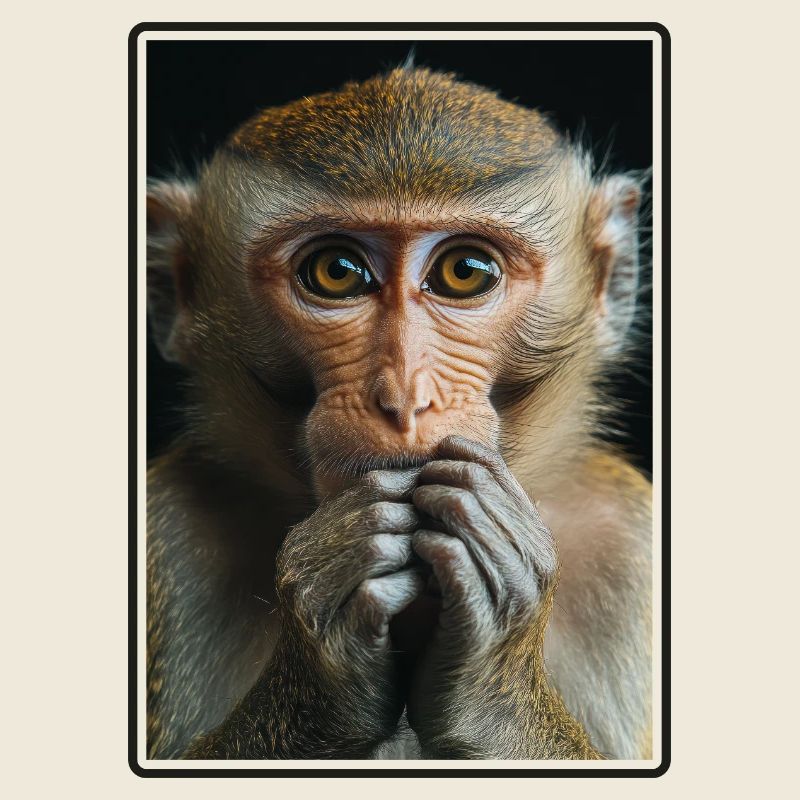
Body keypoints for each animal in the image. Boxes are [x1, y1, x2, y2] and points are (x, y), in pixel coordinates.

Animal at [146, 66, 652, 761]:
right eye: (336, 271)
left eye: (465, 272)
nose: (404, 395)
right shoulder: (169, 526)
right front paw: (324, 657)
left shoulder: (631, 543)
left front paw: (494, 685)